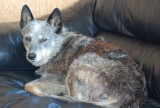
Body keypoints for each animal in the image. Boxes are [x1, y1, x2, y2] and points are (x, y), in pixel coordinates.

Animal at [20, 4, 148, 107]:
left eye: (43, 40)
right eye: (27, 38)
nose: (31, 56)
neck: (58, 48)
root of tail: (129, 97)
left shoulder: (59, 80)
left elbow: (28, 85)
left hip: (78, 64)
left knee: (75, 98)